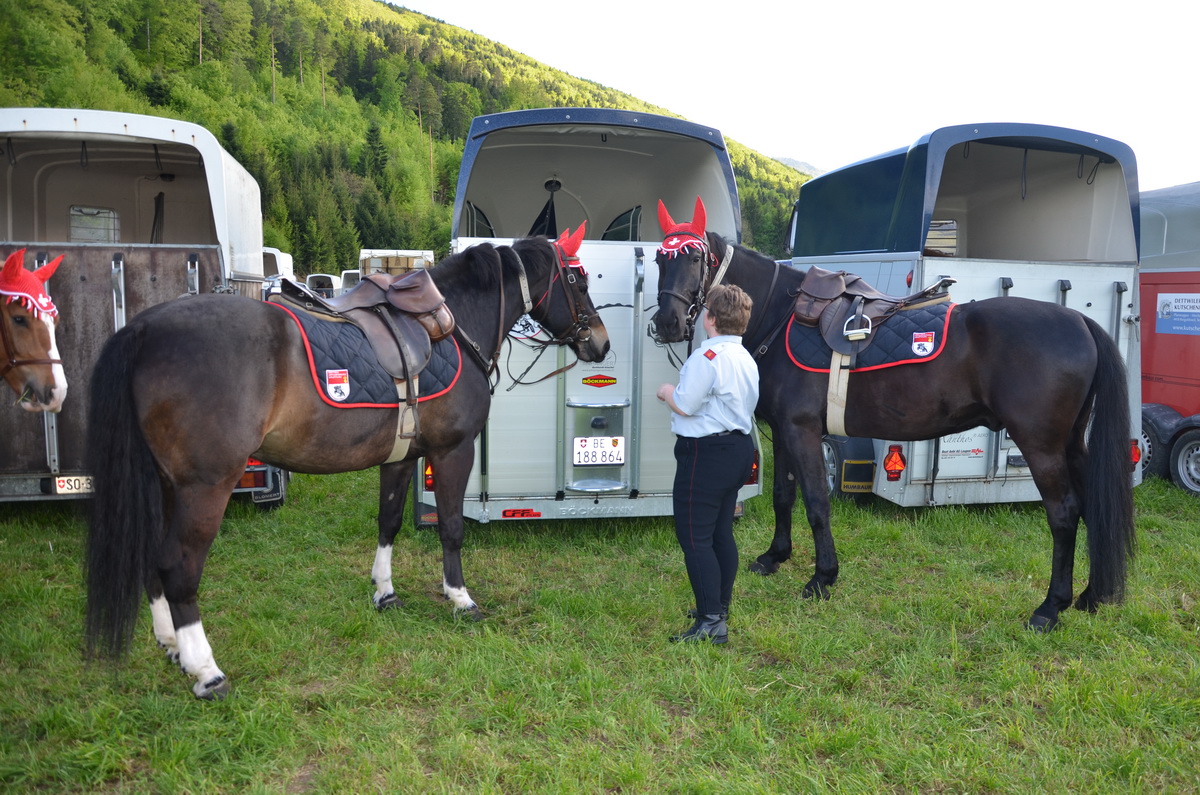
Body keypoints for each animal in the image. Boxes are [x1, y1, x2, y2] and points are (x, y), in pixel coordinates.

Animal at [84, 228, 610, 699]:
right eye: (578, 280)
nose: (601, 344)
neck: (453, 324)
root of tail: (144, 328)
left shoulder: (400, 458)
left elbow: (388, 521)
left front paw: (385, 592)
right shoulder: (453, 452)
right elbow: (452, 527)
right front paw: (460, 598)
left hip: (165, 484)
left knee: (152, 556)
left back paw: (171, 644)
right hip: (204, 487)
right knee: (178, 566)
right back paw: (205, 669)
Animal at [651, 198, 1135, 632]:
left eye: (694, 257)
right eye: (659, 258)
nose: (668, 323)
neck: (781, 313)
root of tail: (1079, 322)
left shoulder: (802, 432)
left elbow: (817, 503)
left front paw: (822, 578)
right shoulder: (785, 430)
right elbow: (783, 497)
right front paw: (775, 557)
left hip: (1041, 446)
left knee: (1064, 514)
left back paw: (1050, 608)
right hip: (1071, 444)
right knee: (1092, 508)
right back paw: (1090, 596)